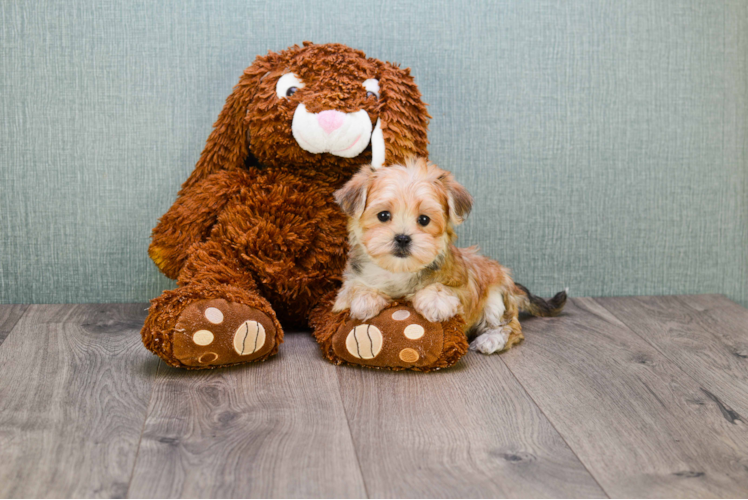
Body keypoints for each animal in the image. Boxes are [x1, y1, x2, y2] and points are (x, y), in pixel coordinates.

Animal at [334, 158, 568, 354]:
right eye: (383, 215)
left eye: (424, 219)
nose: (402, 238)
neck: (400, 270)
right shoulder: (348, 283)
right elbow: (352, 288)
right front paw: (365, 298)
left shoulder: (463, 287)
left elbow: (444, 289)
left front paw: (435, 301)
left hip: (495, 298)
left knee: (510, 327)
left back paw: (490, 340)